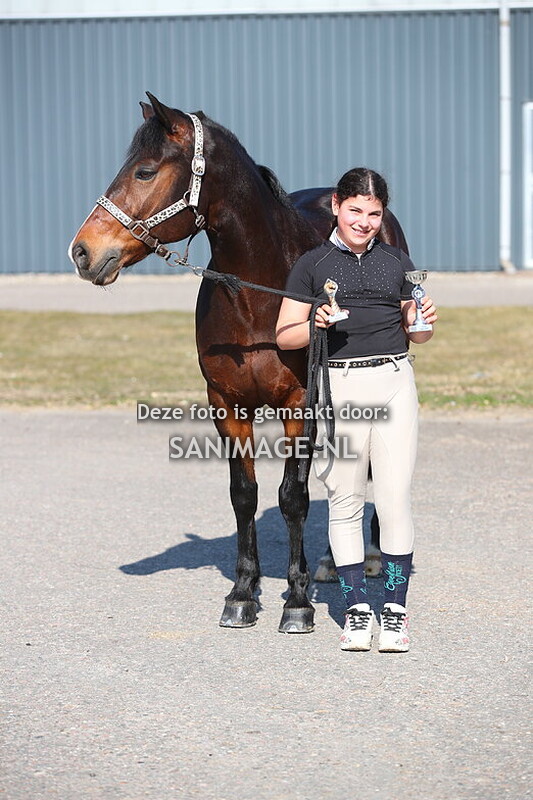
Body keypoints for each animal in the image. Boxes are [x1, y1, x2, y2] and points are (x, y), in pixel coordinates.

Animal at [69, 93, 409, 633]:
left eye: (145, 171)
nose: (83, 252)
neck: (259, 293)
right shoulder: (227, 404)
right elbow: (244, 494)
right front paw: (243, 593)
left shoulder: (298, 403)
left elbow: (292, 497)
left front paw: (297, 601)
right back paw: (331, 563)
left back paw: (370, 556)